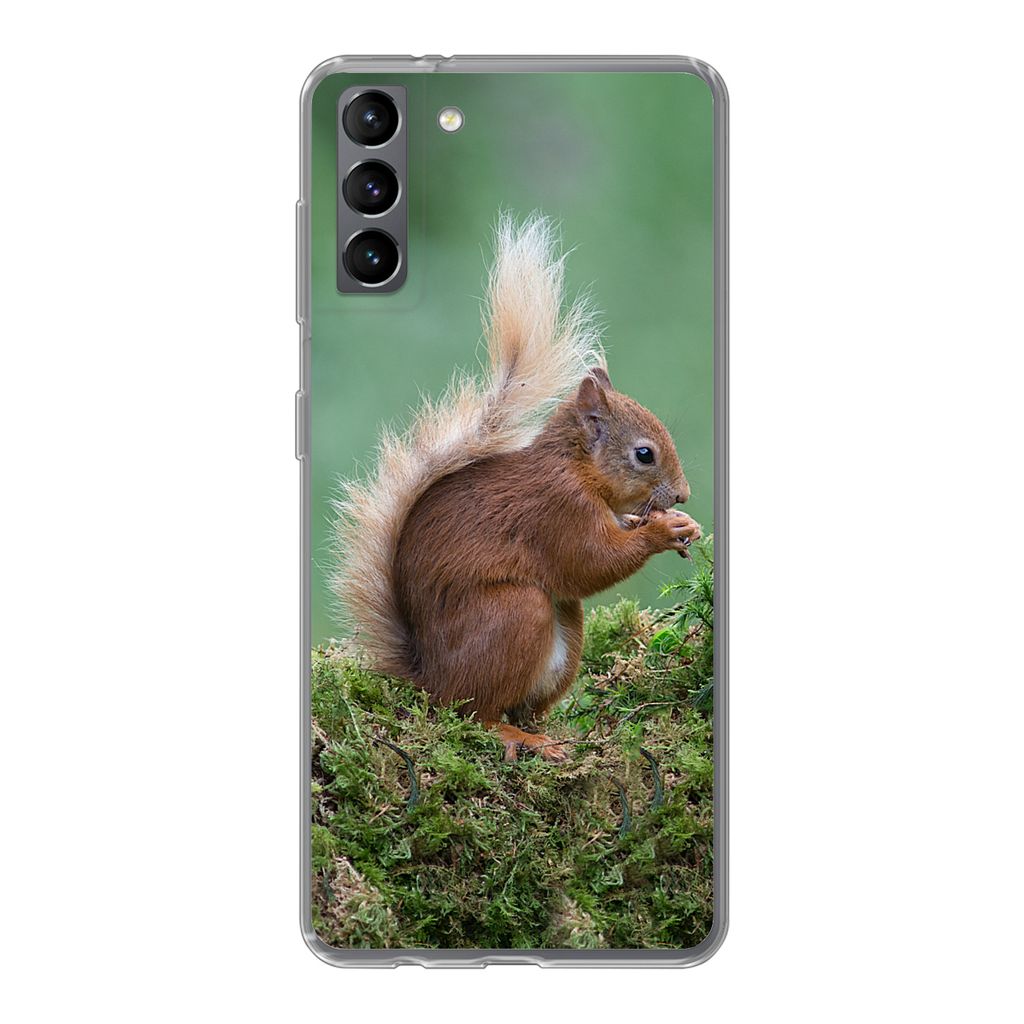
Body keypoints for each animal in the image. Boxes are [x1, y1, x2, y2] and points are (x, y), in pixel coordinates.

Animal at [332, 216, 701, 762]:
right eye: (644, 454)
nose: (683, 495)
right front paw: (662, 530)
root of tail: (429, 679)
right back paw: (516, 737)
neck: (576, 468)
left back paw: (546, 733)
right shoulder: (556, 509)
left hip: (565, 633)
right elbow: (590, 561)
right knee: (475, 713)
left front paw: (680, 524)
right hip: (514, 614)